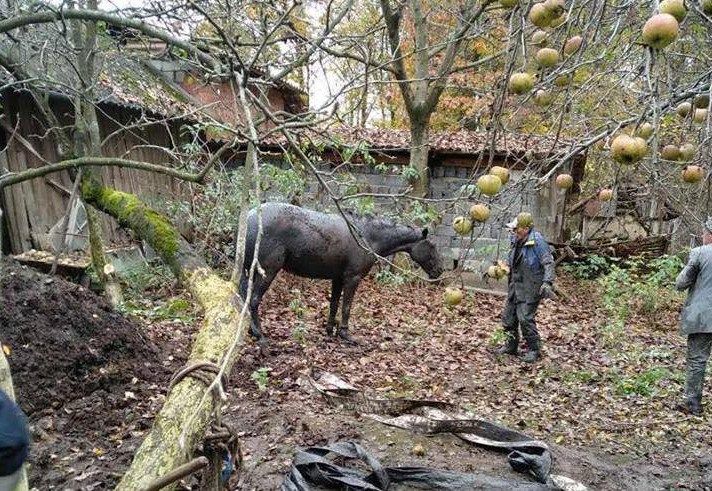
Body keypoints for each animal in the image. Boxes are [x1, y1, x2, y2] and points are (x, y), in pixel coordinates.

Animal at [236, 202, 442, 344]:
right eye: (431, 246)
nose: (440, 270)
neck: (368, 236)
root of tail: (250, 218)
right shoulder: (352, 278)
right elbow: (346, 307)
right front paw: (345, 334)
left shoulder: (337, 278)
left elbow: (334, 304)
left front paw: (329, 330)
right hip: (267, 272)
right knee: (253, 300)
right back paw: (259, 334)